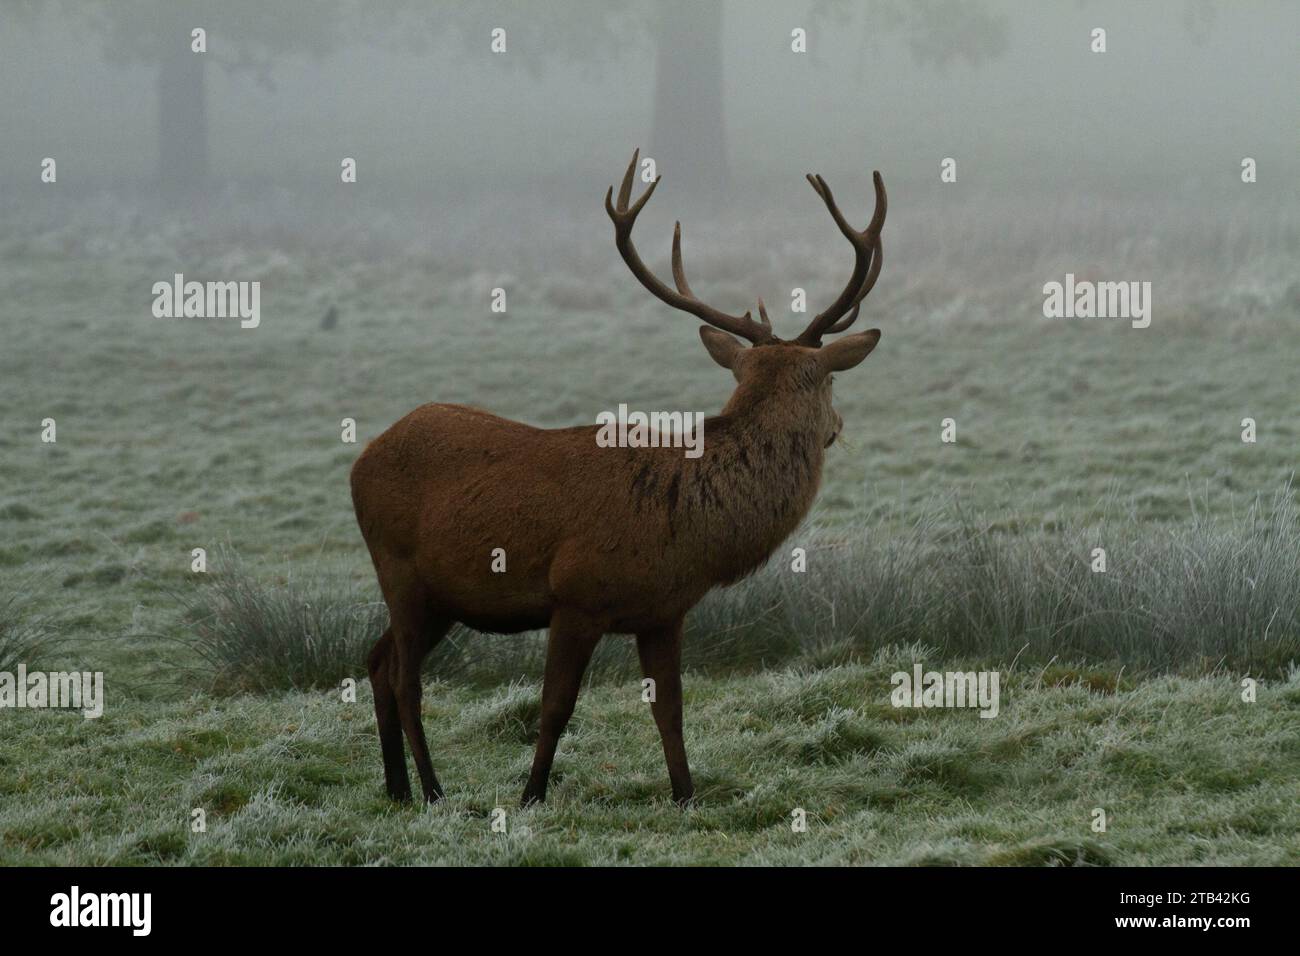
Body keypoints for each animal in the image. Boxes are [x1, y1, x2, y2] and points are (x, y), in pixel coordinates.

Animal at [351, 149, 889, 806]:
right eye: (830, 379)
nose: (837, 425)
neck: (683, 525)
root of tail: (361, 459)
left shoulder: (665, 611)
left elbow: (671, 710)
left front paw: (686, 796)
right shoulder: (574, 596)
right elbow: (555, 707)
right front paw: (531, 796)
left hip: (439, 597)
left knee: (377, 663)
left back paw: (397, 790)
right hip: (398, 568)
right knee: (406, 679)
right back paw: (433, 790)